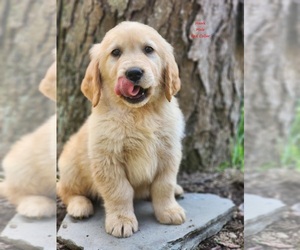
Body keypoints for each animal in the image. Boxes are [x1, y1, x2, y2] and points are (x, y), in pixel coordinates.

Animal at [56, 21, 185, 236]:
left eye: (148, 49)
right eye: (116, 52)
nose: (133, 72)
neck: (139, 114)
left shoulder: (169, 152)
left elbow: (164, 185)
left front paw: (169, 210)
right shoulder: (107, 160)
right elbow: (120, 191)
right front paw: (121, 220)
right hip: (70, 166)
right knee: (65, 190)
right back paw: (79, 206)